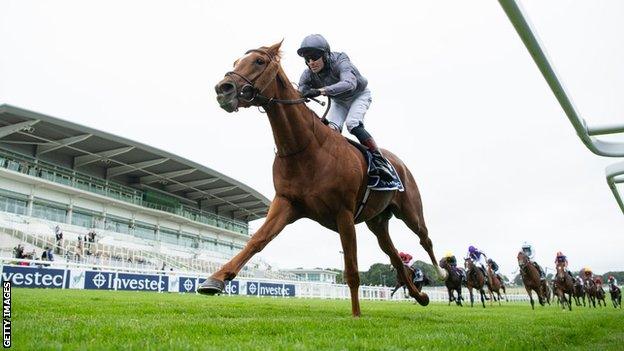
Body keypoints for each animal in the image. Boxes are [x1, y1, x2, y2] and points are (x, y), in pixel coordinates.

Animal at [200, 42, 444, 318]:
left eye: (259, 61)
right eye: (235, 62)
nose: (223, 89)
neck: (304, 148)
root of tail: (399, 163)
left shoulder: (344, 213)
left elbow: (351, 270)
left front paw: (356, 314)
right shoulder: (287, 203)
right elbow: (257, 240)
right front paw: (215, 279)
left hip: (410, 211)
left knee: (425, 239)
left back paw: (441, 273)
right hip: (377, 222)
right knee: (394, 257)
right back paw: (421, 296)